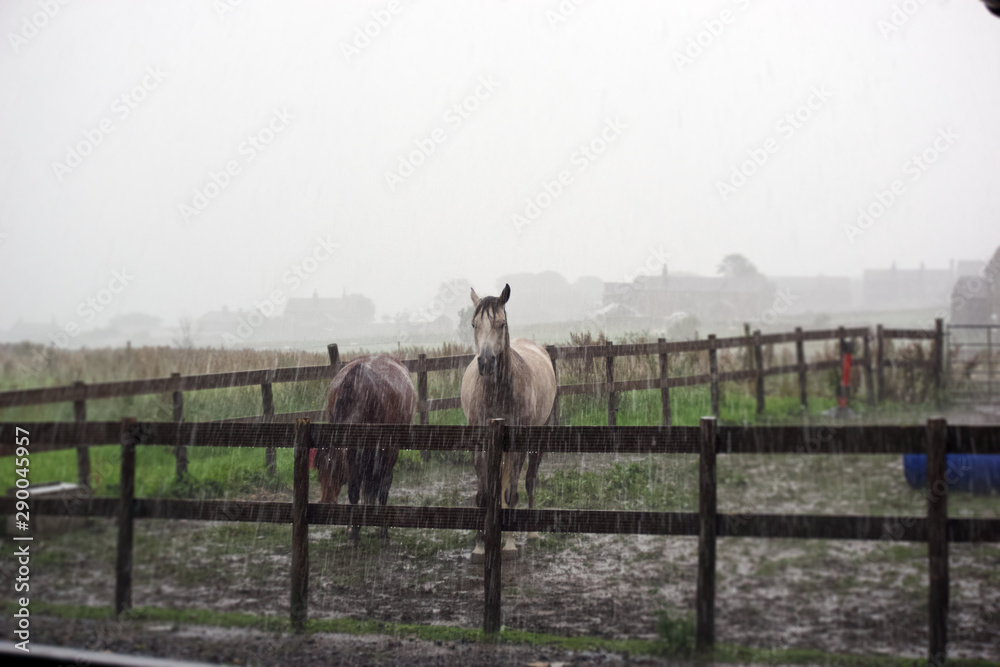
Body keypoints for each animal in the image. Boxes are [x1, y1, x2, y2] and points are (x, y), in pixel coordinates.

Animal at [314, 354, 416, 543]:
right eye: (318, 467)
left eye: (339, 469)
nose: (326, 503)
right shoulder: (353, 454)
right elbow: (354, 491)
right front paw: (353, 530)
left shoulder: (388, 452)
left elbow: (383, 490)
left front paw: (383, 530)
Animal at [460, 284, 556, 561]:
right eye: (474, 324)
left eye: (501, 324)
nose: (485, 362)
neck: (497, 392)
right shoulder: (480, 445)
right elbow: (484, 495)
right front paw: (480, 546)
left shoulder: (517, 444)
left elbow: (511, 492)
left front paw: (510, 544)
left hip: (539, 436)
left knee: (530, 480)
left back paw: (532, 533)